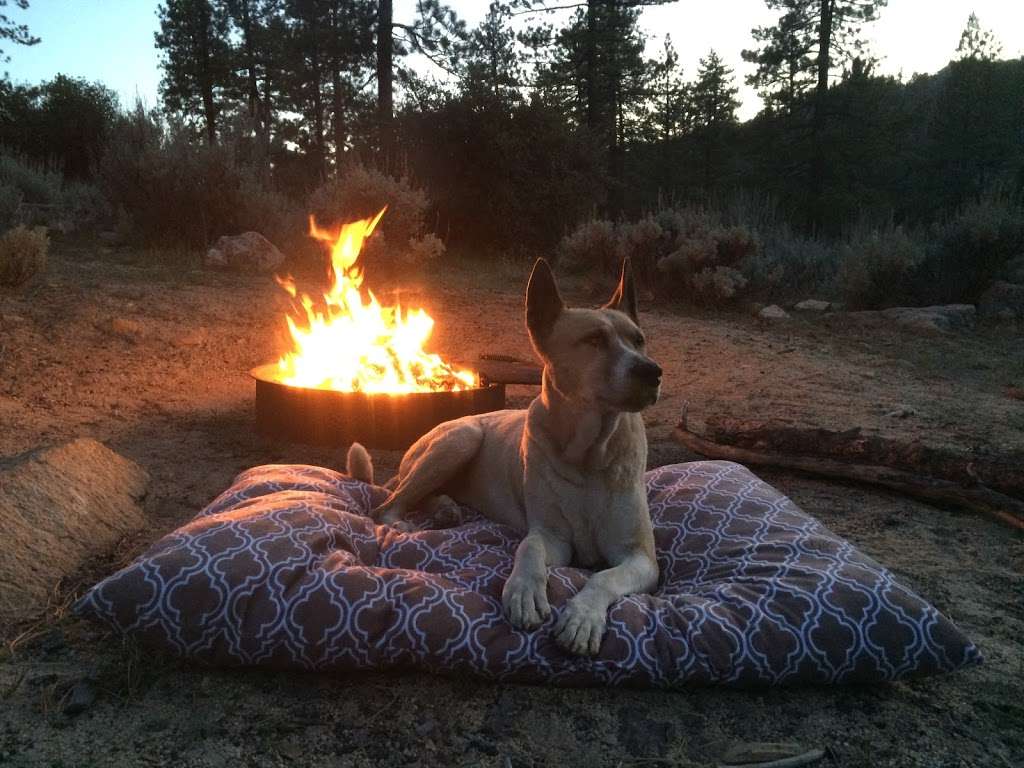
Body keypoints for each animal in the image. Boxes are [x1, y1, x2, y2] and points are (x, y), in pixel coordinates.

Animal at [348, 259, 659, 655]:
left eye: (639, 340)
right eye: (593, 340)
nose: (652, 371)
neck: (588, 453)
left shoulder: (640, 557)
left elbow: (604, 577)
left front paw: (582, 617)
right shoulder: (551, 536)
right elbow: (529, 548)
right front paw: (524, 591)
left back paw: (446, 508)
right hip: (461, 438)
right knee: (387, 505)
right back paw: (408, 520)